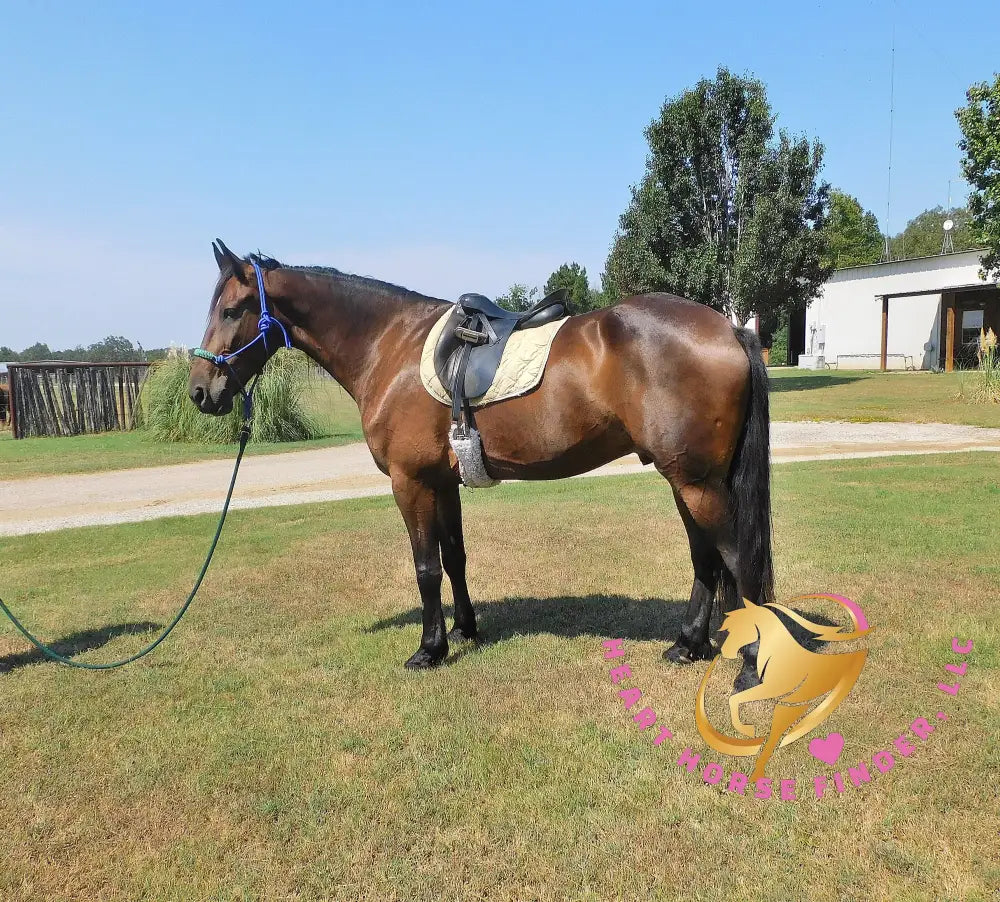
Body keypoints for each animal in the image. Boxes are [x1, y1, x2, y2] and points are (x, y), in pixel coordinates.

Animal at [189, 240, 773, 670]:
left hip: (697, 483)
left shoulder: (410, 482)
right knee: (706, 561)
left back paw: (749, 660)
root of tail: (729, 327)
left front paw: (429, 649)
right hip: (686, 479)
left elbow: (425, 566)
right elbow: (454, 558)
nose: (199, 392)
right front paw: (465, 629)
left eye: (232, 309)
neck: (390, 345)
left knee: (734, 560)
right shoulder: (442, 482)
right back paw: (687, 645)